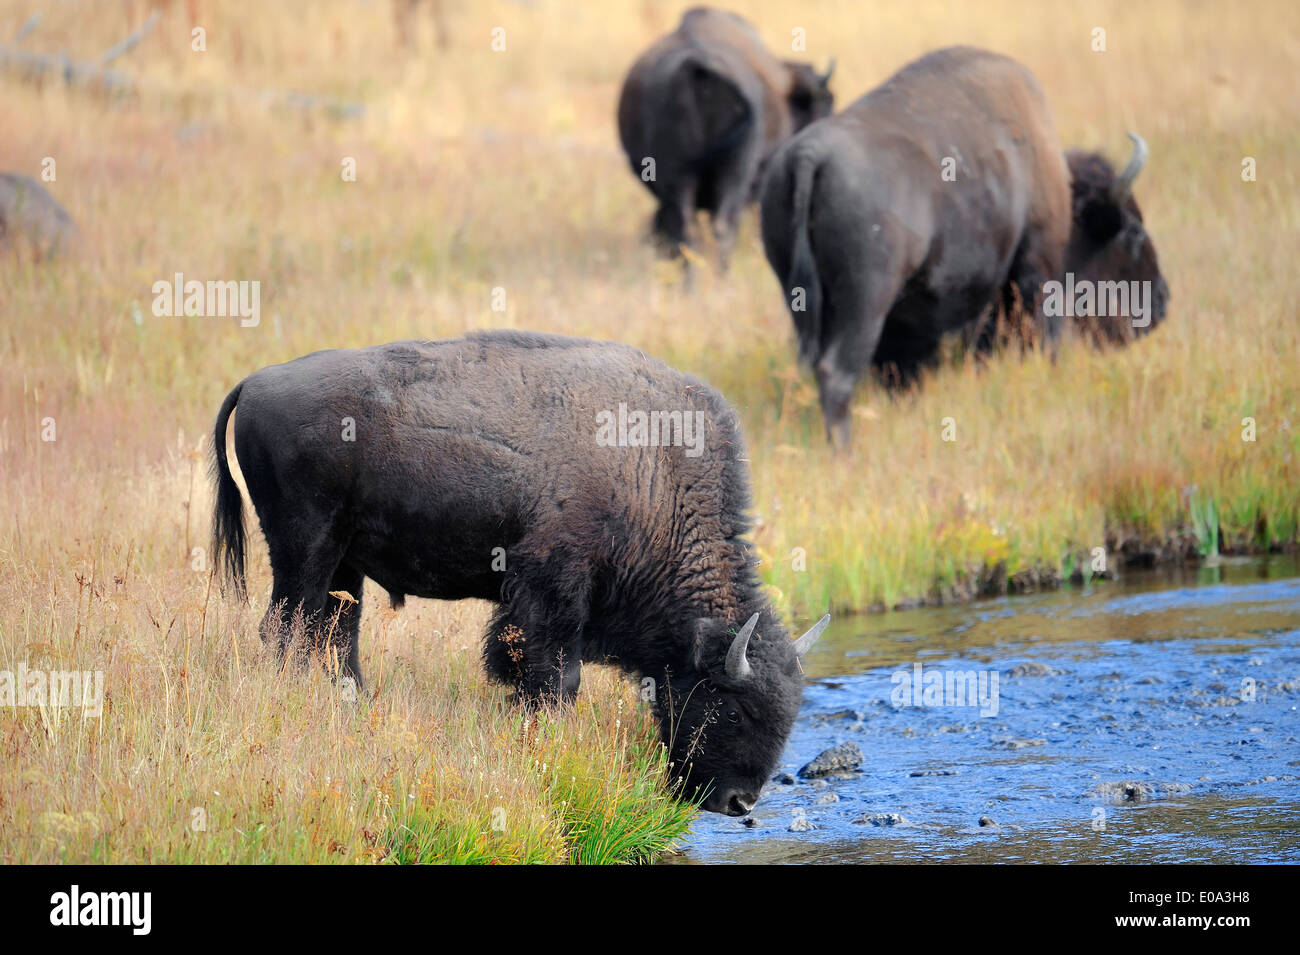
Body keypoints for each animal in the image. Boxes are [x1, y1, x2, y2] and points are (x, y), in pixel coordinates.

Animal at [209, 328, 826, 815]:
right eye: (736, 708)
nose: (739, 803)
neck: (652, 470)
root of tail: (255, 382)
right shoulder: (552, 590)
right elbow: (554, 677)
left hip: (345, 565)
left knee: (337, 637)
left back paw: (358, 707)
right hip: (306, 551)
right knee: (287, 632)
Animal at [759, 44, 1071, 446]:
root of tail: (810, 155)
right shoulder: (1038, 262)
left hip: (801, 294)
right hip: (866, 299)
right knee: (836, 372)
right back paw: (844, 450)